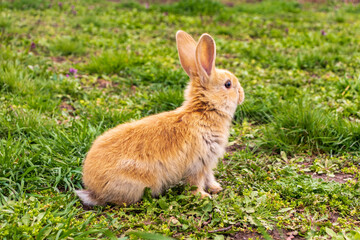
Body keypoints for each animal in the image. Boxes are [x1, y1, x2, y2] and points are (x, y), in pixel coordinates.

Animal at [76, 30, 245, 206]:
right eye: (228, 84)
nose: (242, 95)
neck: (203, 111)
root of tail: (94, 190)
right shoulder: (198, 163)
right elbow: (196, 182)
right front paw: (203, 196)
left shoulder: (208, 163)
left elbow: (209, 177)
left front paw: (215, 188)